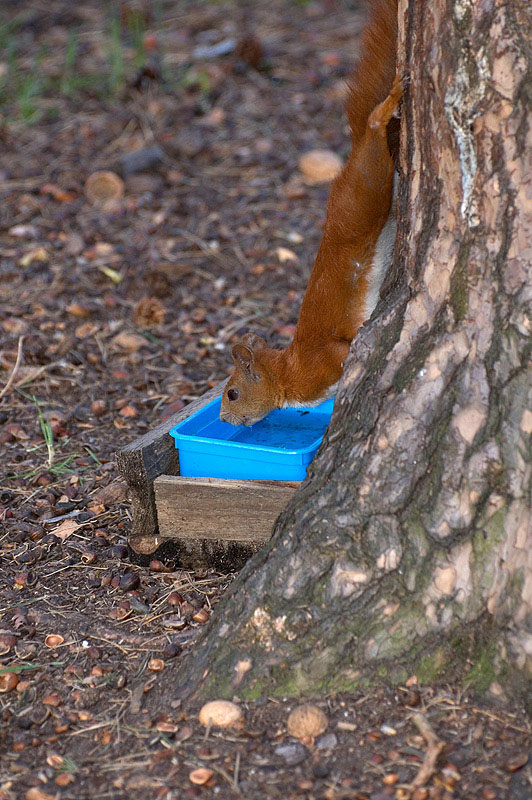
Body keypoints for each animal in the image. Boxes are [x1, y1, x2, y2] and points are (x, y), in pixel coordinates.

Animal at [219, 0, 400, 424]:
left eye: (232, 394)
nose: (221, 420)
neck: (288, 369)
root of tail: (346, 170)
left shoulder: (325, 361)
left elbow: (342, 352)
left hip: (368, 189)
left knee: (373, 130)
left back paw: (387, 106)